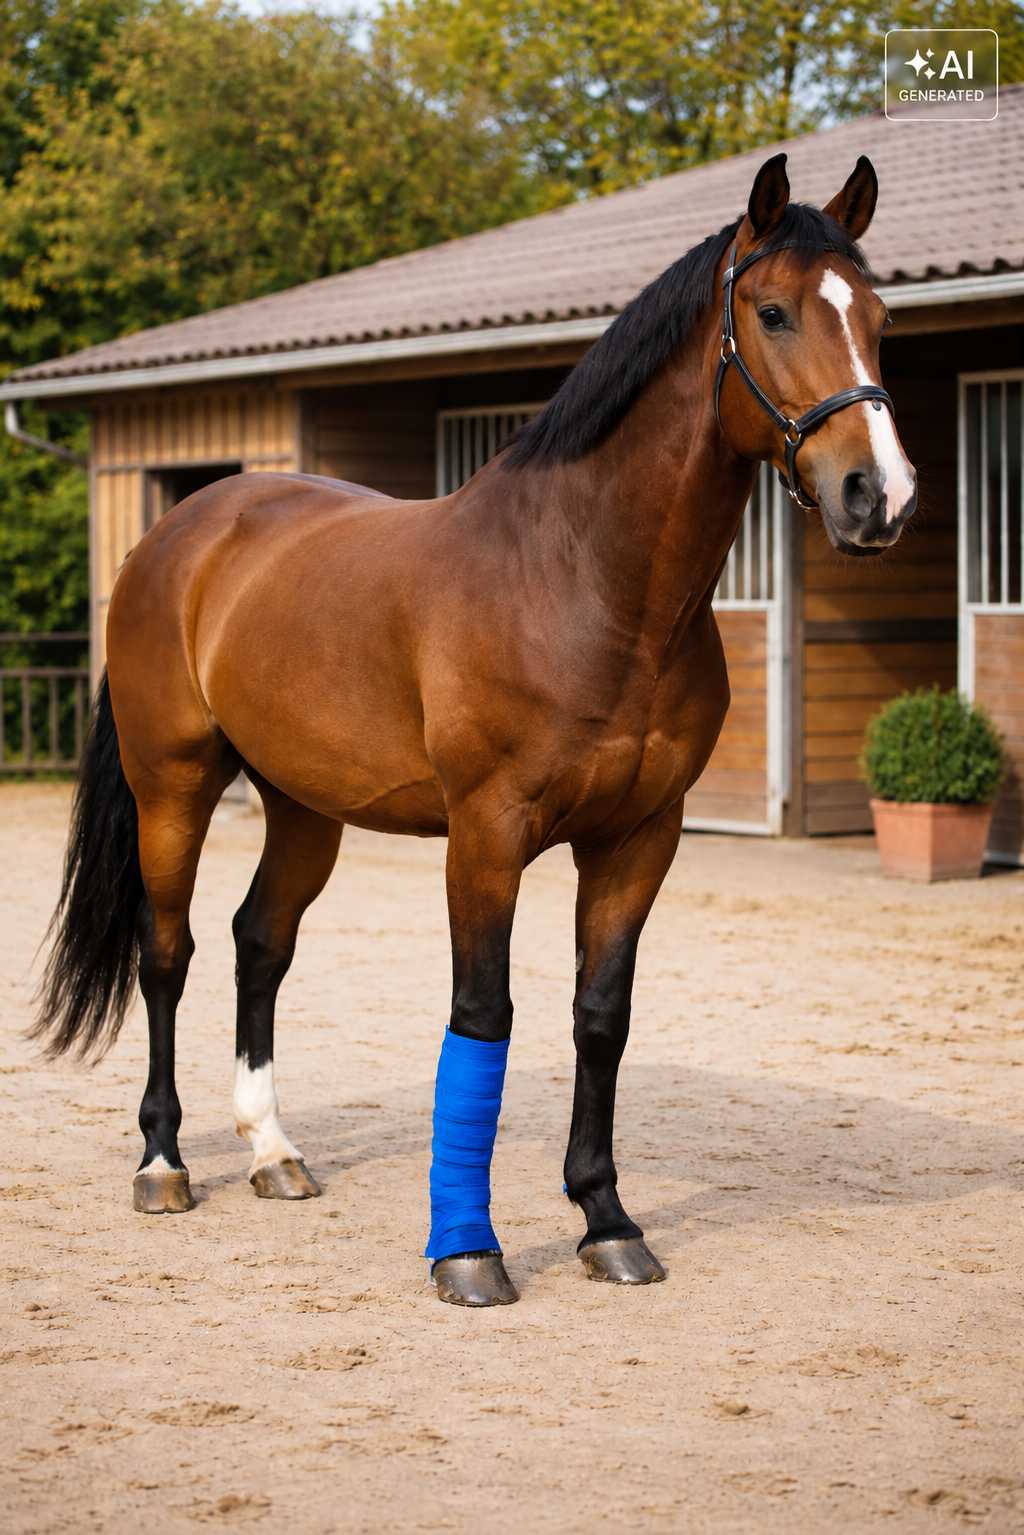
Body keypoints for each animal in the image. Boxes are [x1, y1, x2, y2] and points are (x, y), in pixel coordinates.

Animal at [35, 151, 917, 1307]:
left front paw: (607, 1221)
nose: (879, 496)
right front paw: (468, 1248)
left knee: (259, 943)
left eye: (879, 317)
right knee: (167, 949)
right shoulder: (487, 836)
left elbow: (601, 1015)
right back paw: (164, 1161)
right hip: (172, 784)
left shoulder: (639, 837)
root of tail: (180, 532)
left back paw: (273, 1150)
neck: (584, 580)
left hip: (303, 806)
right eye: (771, 312)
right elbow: (482, 1016)